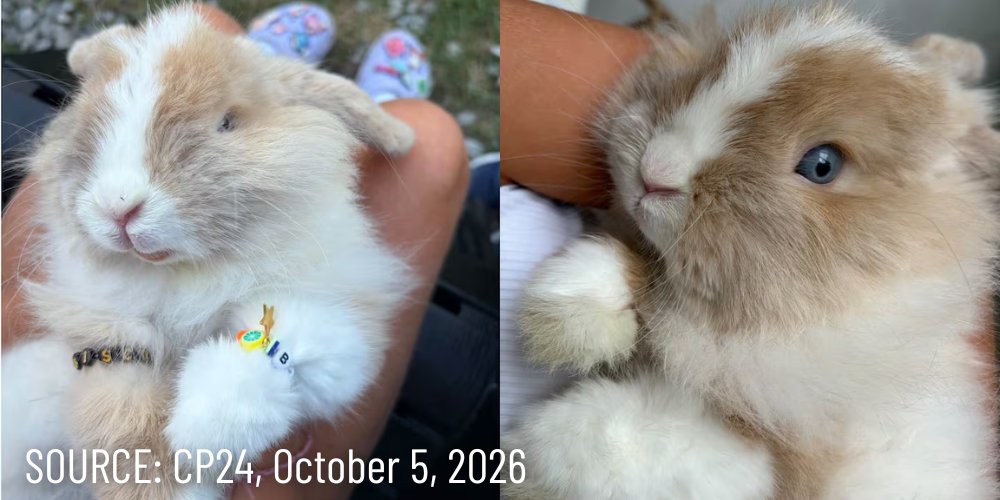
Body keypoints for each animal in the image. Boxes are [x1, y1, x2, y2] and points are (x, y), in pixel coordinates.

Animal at [1, 5, 414, 500]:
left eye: (228, 122)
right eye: (88, 117)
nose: (119, 206)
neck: (186, 276)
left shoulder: (346, 319)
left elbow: (284, 341)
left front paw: (203, 435)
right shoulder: (111, 342)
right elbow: (123, 424)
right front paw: (170, 475)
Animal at [504, 5, 999, 500]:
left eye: (822, 165)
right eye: (711, 71)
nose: (657, 168)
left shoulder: (768, 453)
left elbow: (612, 435)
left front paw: (525, 457)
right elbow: (624, 267)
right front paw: (559, 322)